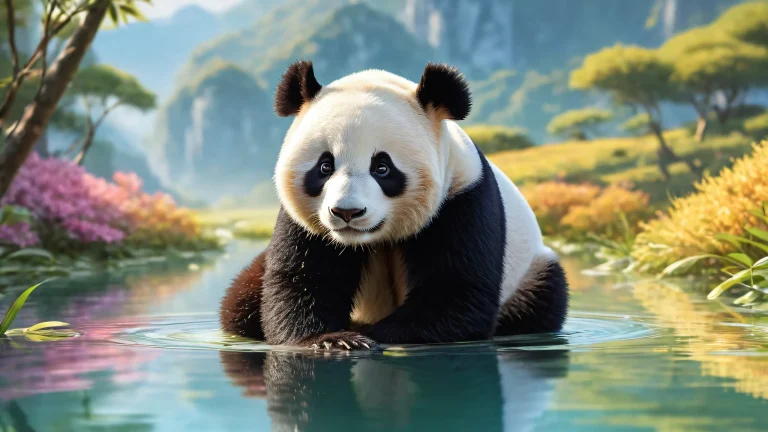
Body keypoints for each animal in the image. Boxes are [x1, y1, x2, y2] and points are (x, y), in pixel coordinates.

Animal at [219, 60, 569, 350]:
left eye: (382, 167)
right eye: (325, 166)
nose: (347, 212)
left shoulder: (462, 199)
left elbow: (455, 289)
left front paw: (375, 335)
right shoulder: (305, 223)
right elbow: (303, 280)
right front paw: (334, 339)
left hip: (530, 275)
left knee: (543, 301)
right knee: (241, 299)